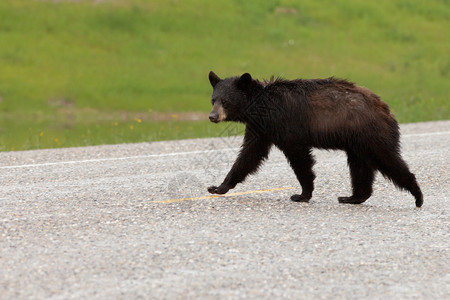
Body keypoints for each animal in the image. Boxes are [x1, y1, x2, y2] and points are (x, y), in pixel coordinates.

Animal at [206, 71, 424, 206]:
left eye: (226, 101)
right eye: (213, 99)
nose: (212, 116)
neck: (260, 105)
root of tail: (386, 109)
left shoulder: (286, 126)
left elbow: (299, 158)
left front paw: (302, 194)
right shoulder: (260, 129)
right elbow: (248, 156)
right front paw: (218, 187)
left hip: (370, 134)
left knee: (387, 159)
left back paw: (417, 195)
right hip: (357, 142)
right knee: (360, 167)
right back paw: (352, 197)